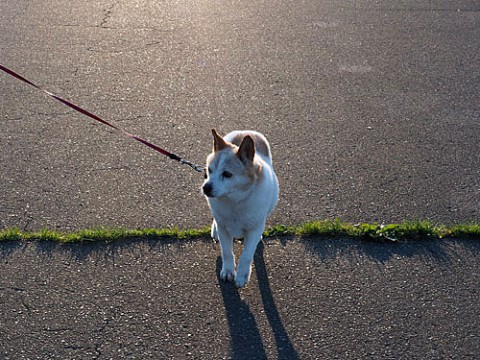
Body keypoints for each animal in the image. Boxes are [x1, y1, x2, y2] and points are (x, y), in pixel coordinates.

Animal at [202, 129, 278, 286]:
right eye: (209, 171)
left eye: (227, 174)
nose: (205, 188)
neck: (235, 200)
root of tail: (245, 132)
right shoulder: (224, 228)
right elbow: (226, 252)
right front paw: (228, 271)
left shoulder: (253, 230)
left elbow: (247, 255)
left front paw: (242, 275)